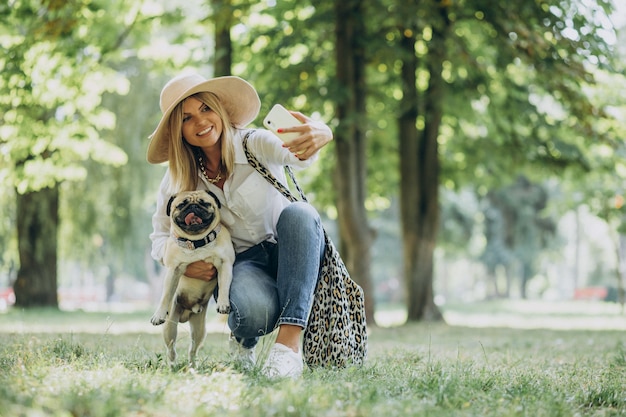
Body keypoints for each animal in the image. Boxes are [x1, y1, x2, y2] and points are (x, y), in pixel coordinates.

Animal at [151, 190, 234, 366]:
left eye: (205, 203)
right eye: (181, 205)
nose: (193, 207)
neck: (197, 242)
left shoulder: (225, 264)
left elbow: (224, 286)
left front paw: (223, 304)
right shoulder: (173, 270)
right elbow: (165, 295)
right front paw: (158, 314)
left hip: (199, 330)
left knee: (193, 349)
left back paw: (192, 365)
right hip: (170, 328)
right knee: (171, 349)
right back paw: (172, 365)